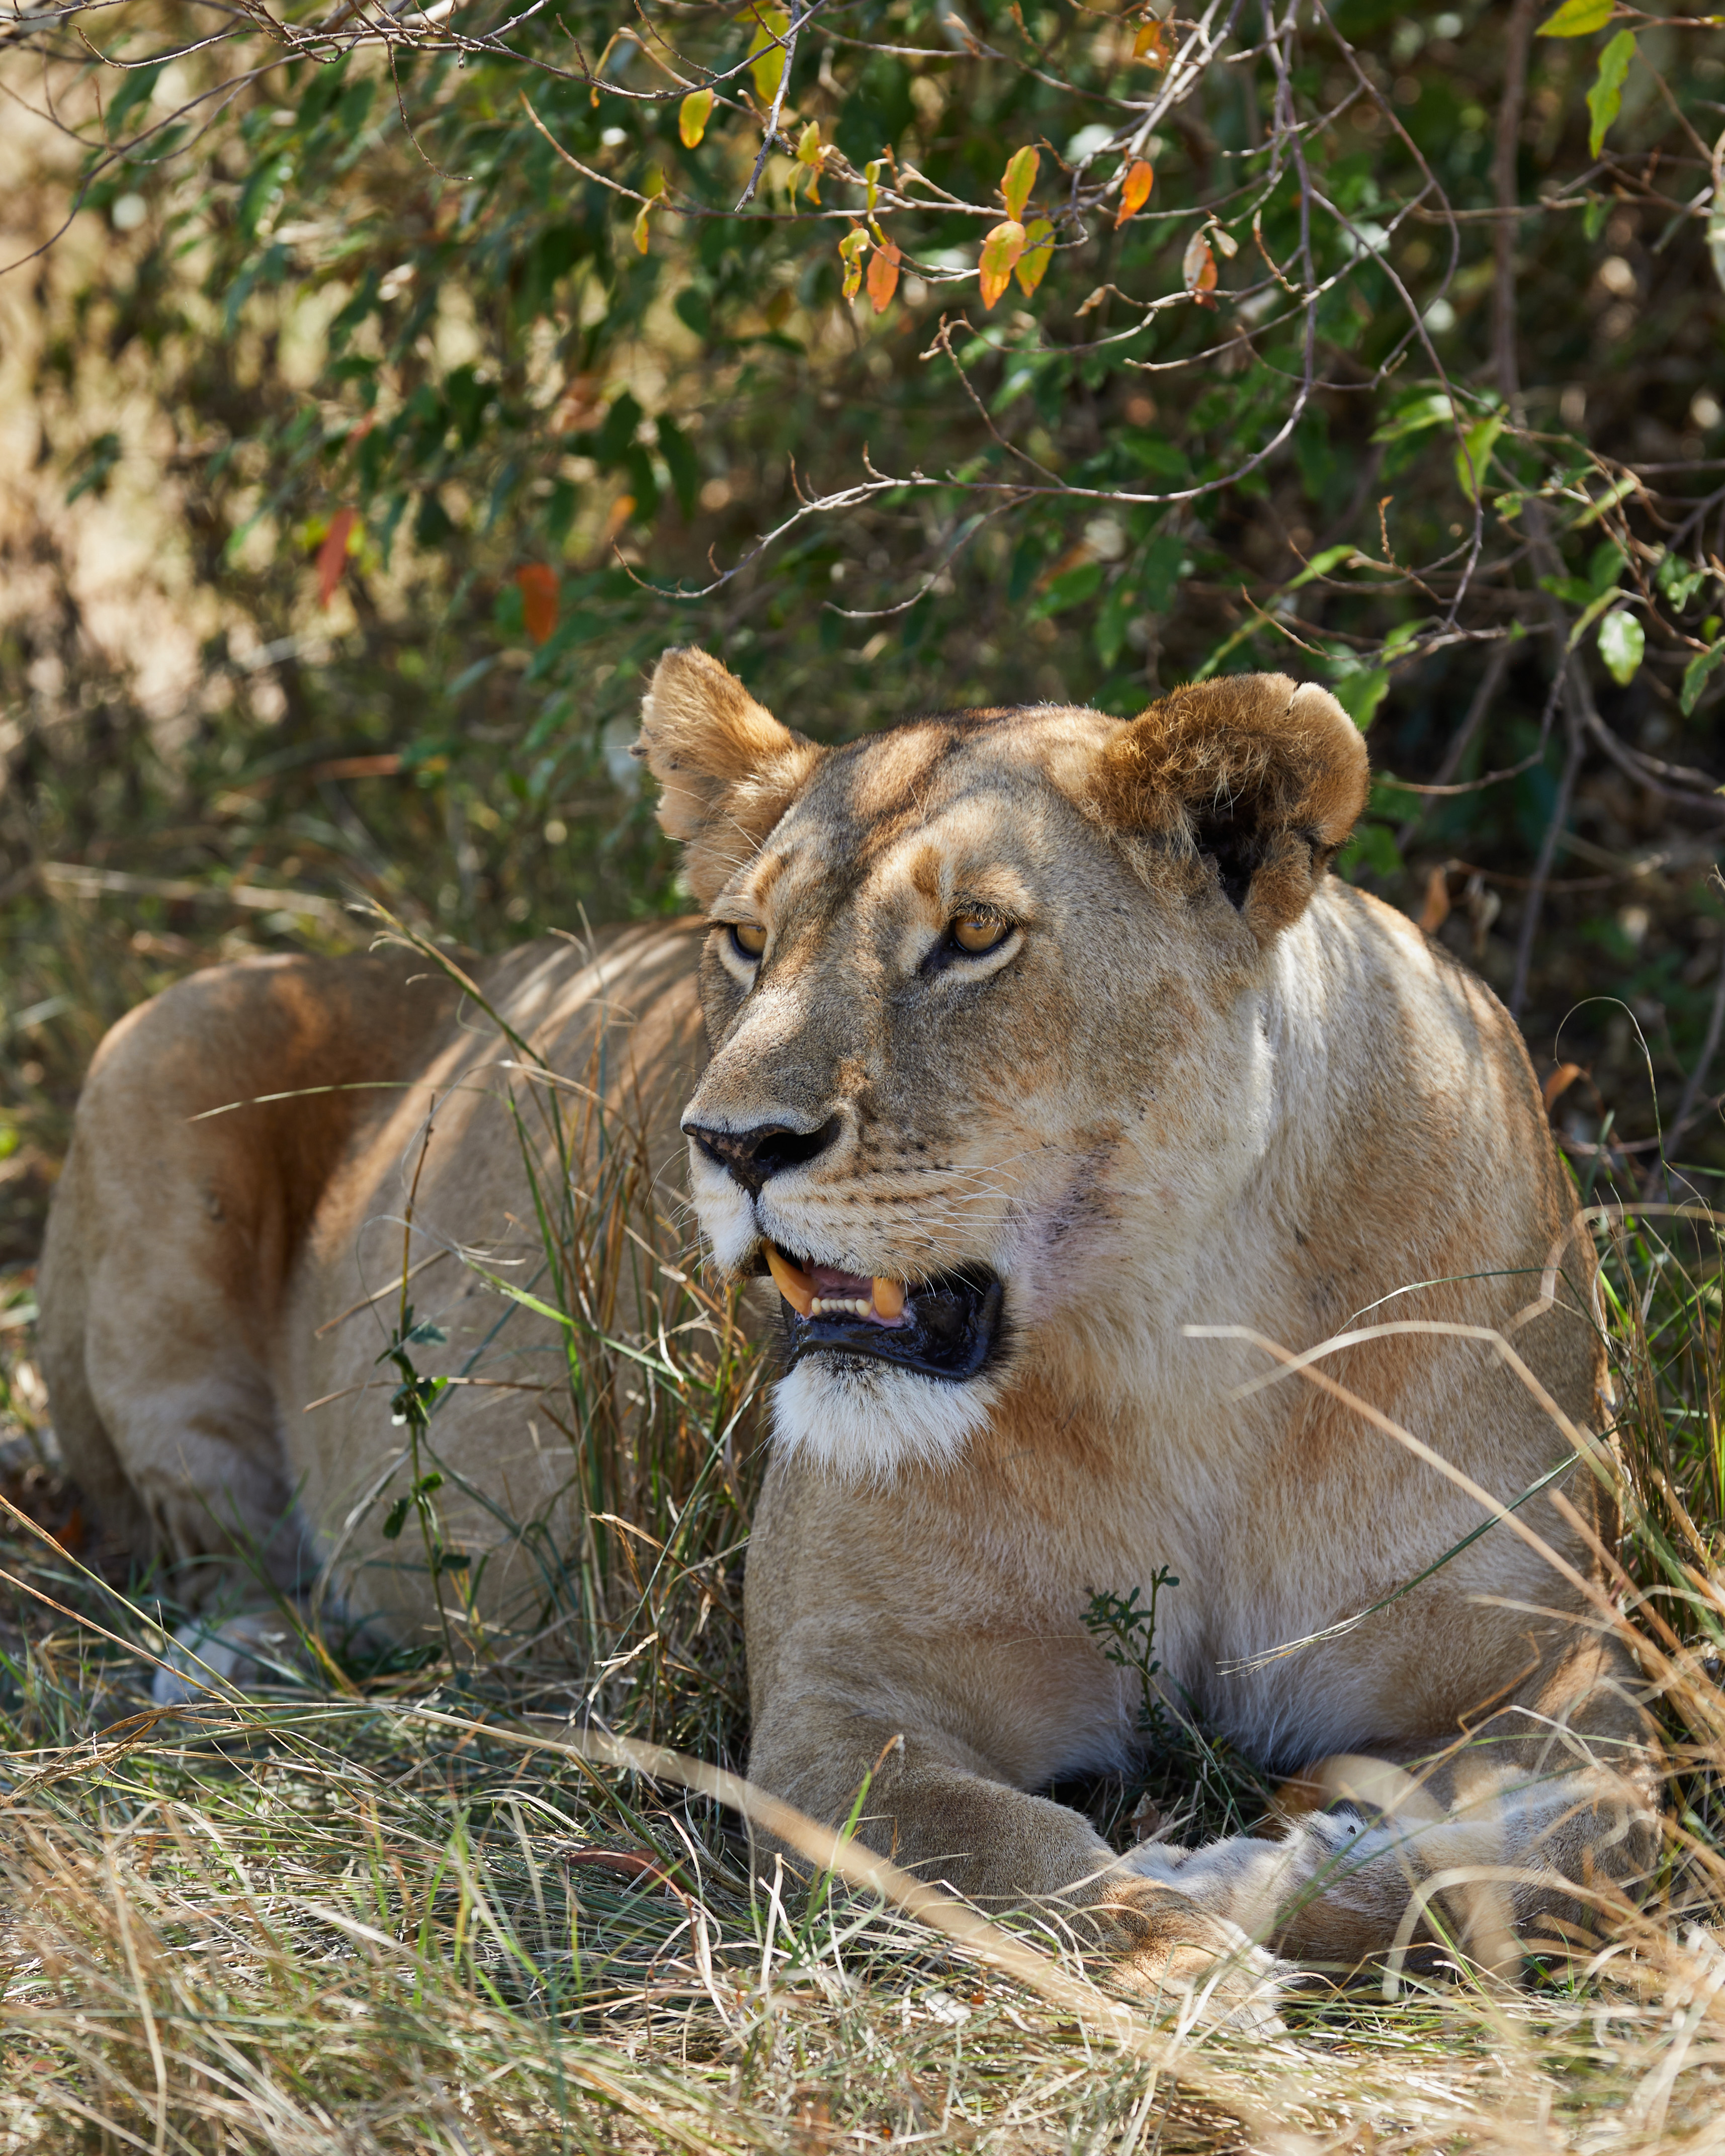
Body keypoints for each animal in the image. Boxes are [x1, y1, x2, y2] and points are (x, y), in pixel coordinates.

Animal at [40, 649, 1656, 2014]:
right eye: (744, 939)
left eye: (975, 934)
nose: (731, 1142)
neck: (1180, 1350)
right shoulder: (833, 1716)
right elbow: (1002, 1850)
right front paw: (1172, 1936)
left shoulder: (1567, 1667)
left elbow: (1578, 1846)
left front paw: (1280, 1859)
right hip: (159, 1047)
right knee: (201, 1536)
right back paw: (227, 1656)